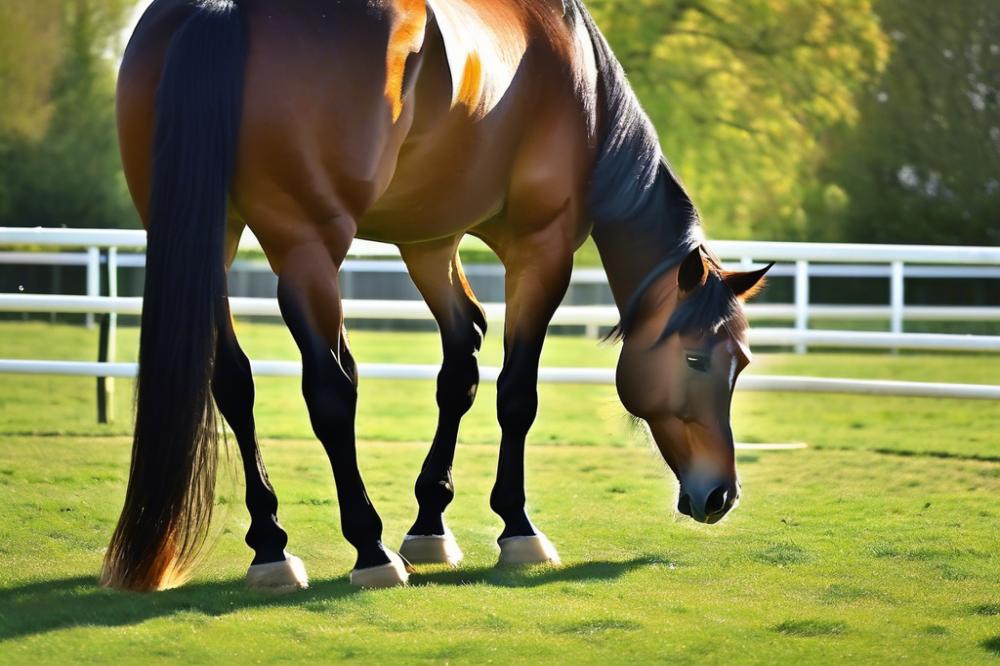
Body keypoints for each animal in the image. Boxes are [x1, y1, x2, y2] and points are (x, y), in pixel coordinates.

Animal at [105, 0, 768, 592]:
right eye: (696, 359)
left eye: (742, 364)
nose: (721, 494)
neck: (588, 85)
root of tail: (221, 6)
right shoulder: (542, 249)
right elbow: (516, 395)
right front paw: (518, 528)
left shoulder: (429, 243)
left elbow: (461, 366)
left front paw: (430, 523)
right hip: (306, 248)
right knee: (330, 392)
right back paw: (368, 549)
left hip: (208, 231)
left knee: (233, 381)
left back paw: (271, 546)